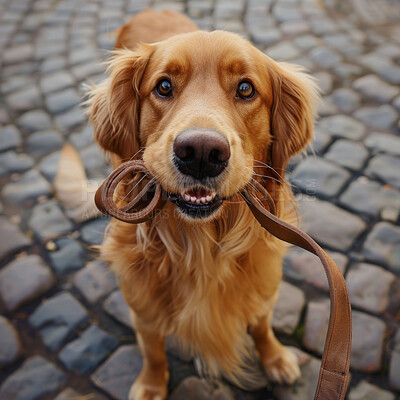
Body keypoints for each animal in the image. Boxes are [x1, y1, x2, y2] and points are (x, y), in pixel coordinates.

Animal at [87, 9, 318, 400]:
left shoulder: (264, 287)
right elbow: (153, 350)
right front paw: (151, 385)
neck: (201, 248)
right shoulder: (142, 308)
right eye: (164, 86)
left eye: (245, 88)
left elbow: (261, 325)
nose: (200, 153)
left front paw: (274, 358)